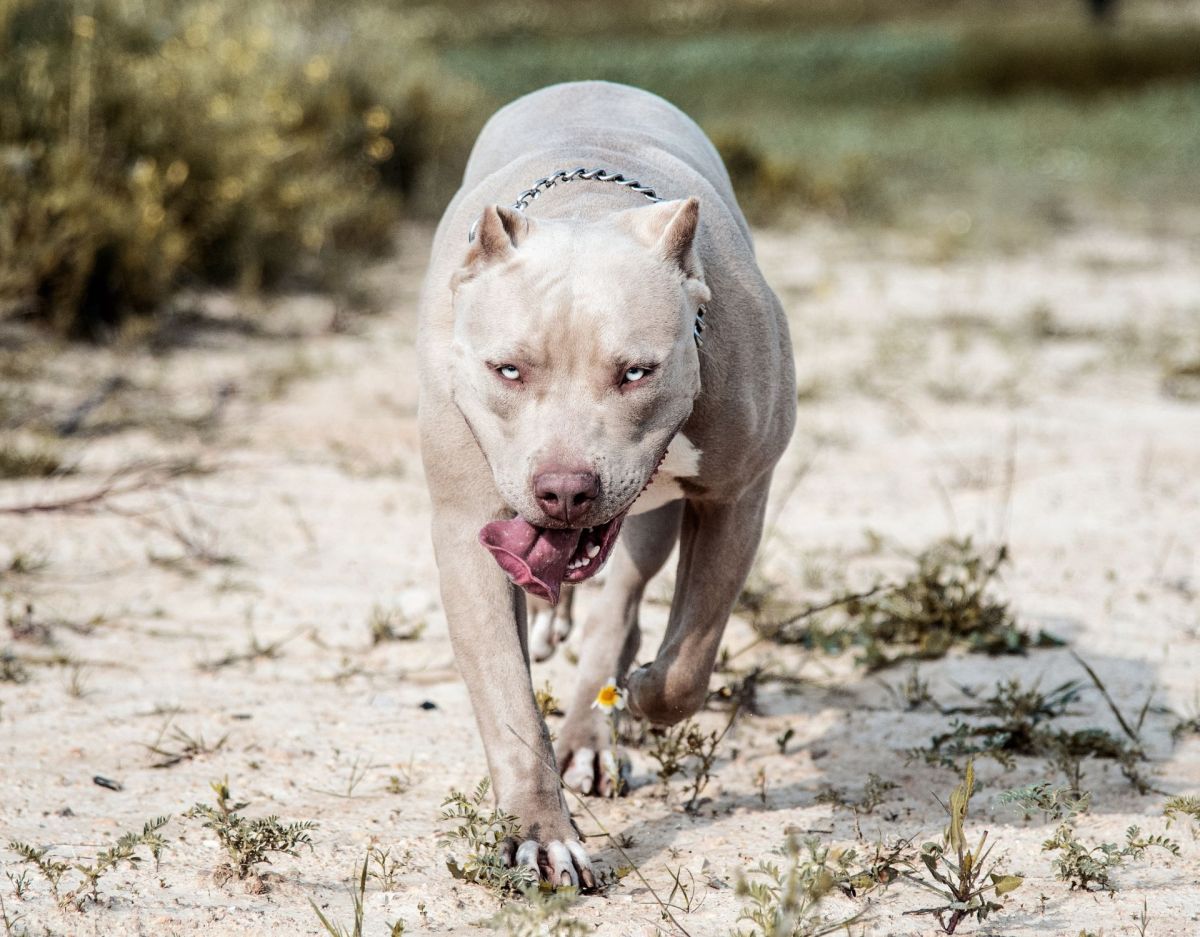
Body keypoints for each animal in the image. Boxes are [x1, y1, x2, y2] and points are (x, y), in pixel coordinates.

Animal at [417, 80, 792, 883]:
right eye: (508, 369)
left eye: (636, 372)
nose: (565, 489)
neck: (585, 208)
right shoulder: (466, 527)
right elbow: (509, 702)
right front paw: (541, 835)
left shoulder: (737, 497)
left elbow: (689, 658)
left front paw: (645, 686)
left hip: (651, 517)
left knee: (619, 603)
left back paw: (599, 717)